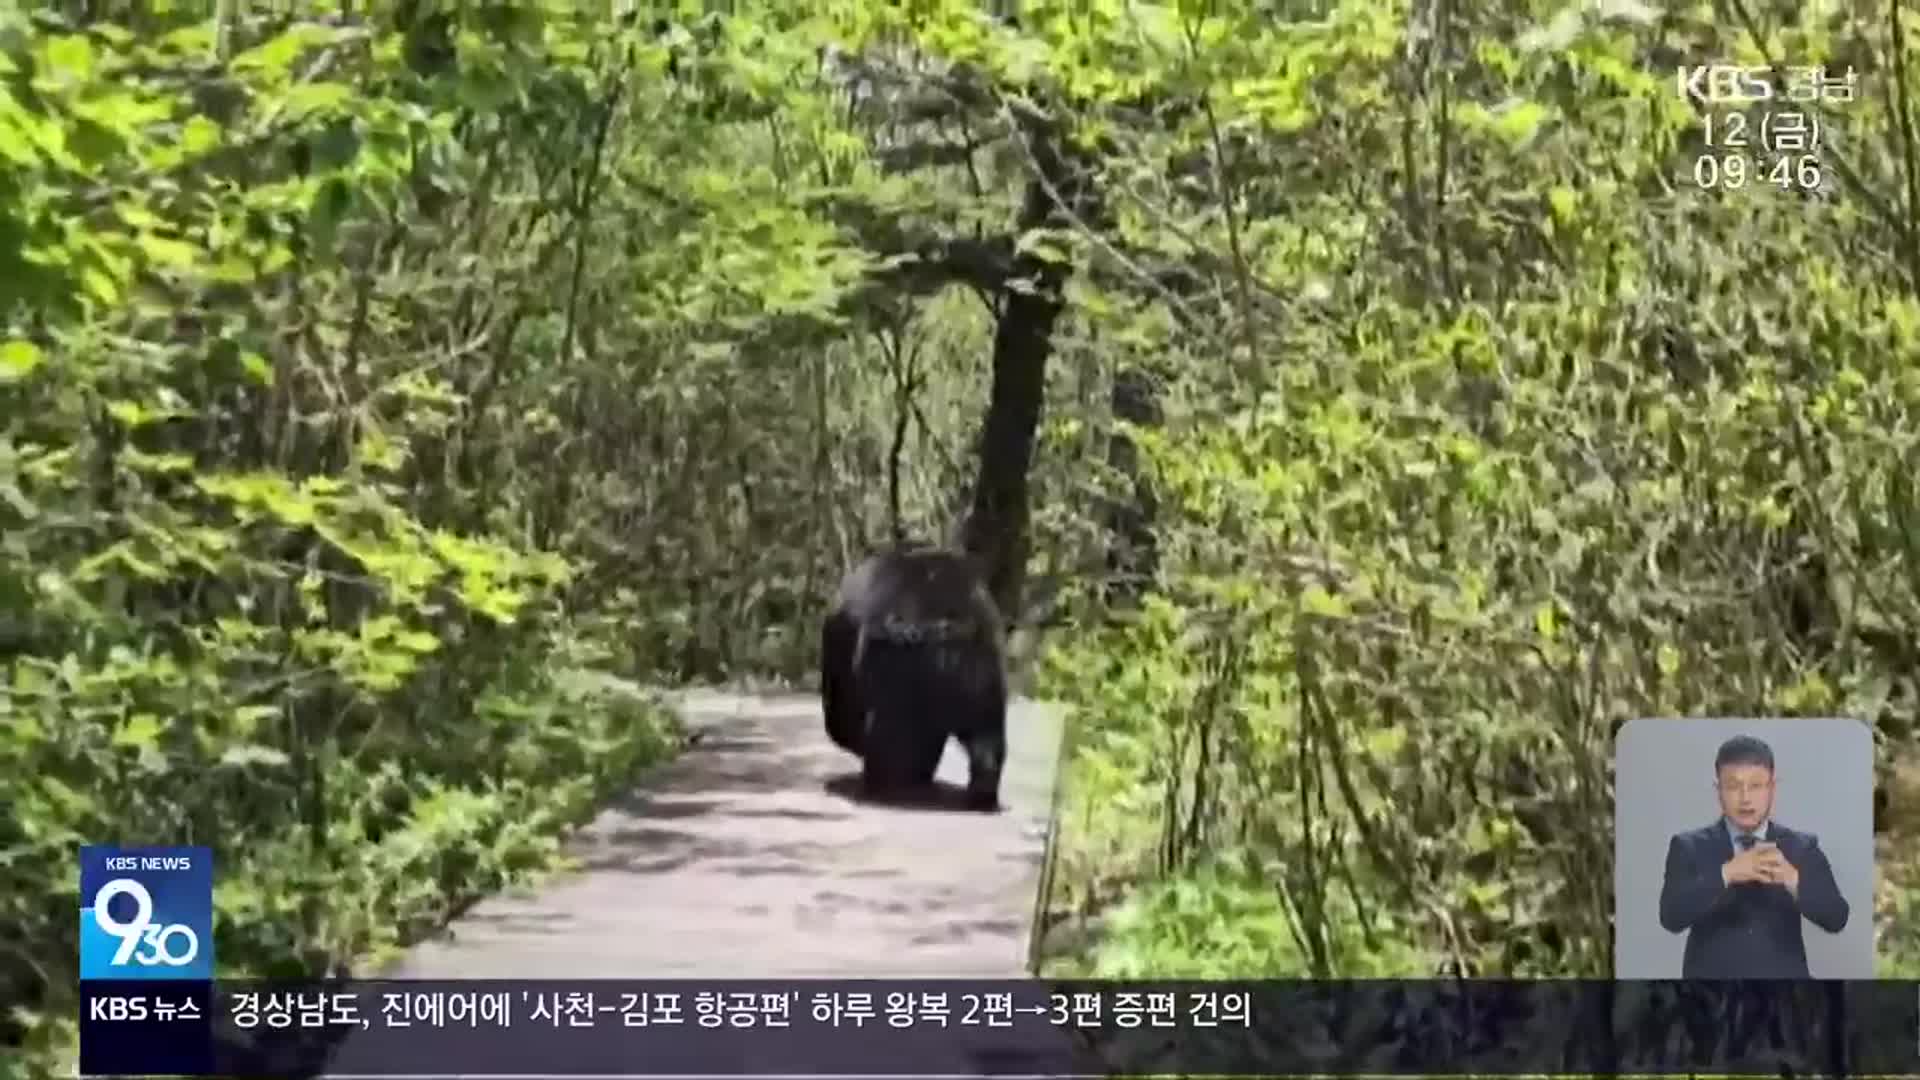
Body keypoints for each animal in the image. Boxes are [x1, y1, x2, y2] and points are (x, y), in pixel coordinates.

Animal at [817, 545, 1013, 807]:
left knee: (888, 722)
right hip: (978, 662)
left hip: (895, 658)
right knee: (986, 726)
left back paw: (882, 781)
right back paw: (980, 791)